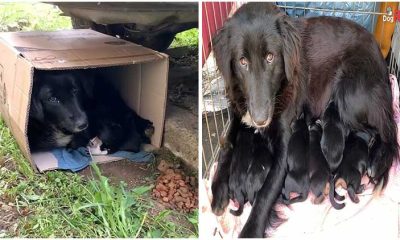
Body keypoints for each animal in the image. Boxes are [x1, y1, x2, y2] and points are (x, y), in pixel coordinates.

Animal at [211, 2, 398, 238]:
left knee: (380, 133)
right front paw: (218, 189)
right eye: (242, 61)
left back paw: (377, 159)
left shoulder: (284, 147)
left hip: (349, 96)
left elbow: (264, 194)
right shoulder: (238, 113)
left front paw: (251, 230)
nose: (260, 119)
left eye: (270, 57)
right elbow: (226, 145)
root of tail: (382, 60)